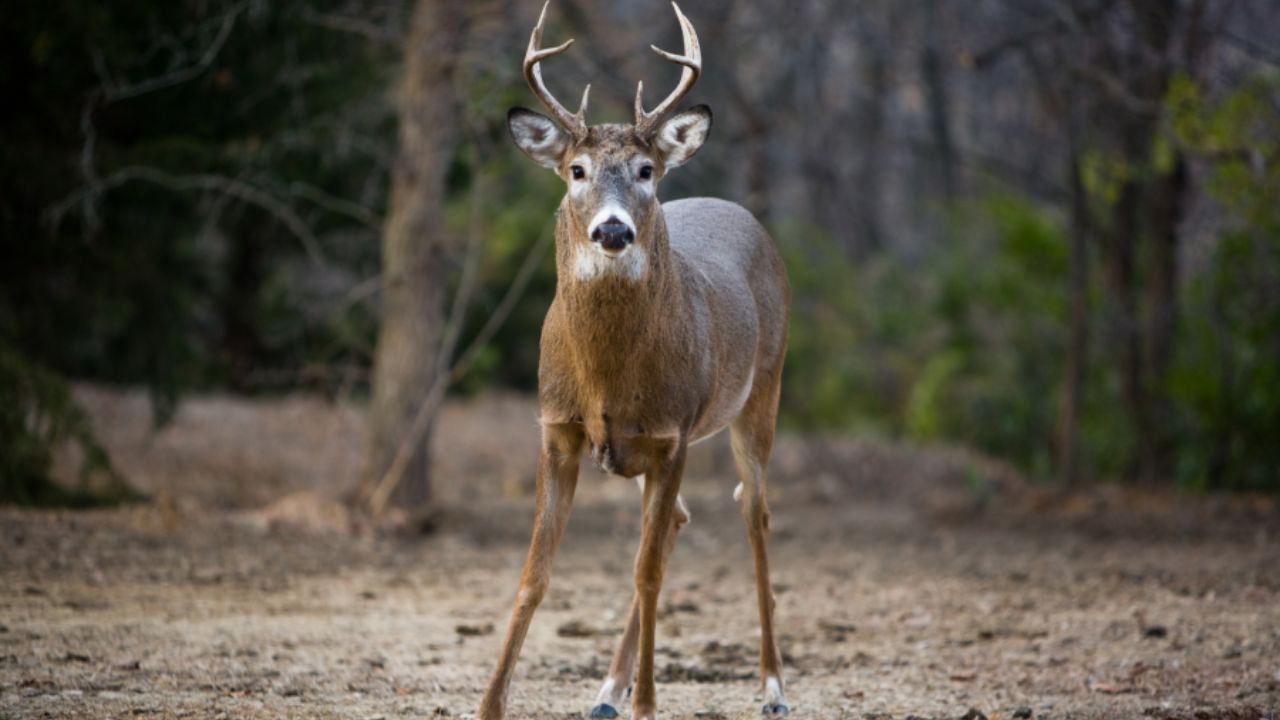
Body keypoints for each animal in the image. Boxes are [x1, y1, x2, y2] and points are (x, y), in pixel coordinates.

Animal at [476, 4, 791, 719]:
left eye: (645, 170)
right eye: (576, 170)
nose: (613, 229)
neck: (606, 380)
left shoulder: (672, 434)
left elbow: (647, 574)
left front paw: (649, 703)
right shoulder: (556, 430)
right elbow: (533, 575)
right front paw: (488, 705)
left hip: (761, 392)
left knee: (753, 513)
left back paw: (772, 686)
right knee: (680, 518)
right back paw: (606, 690)